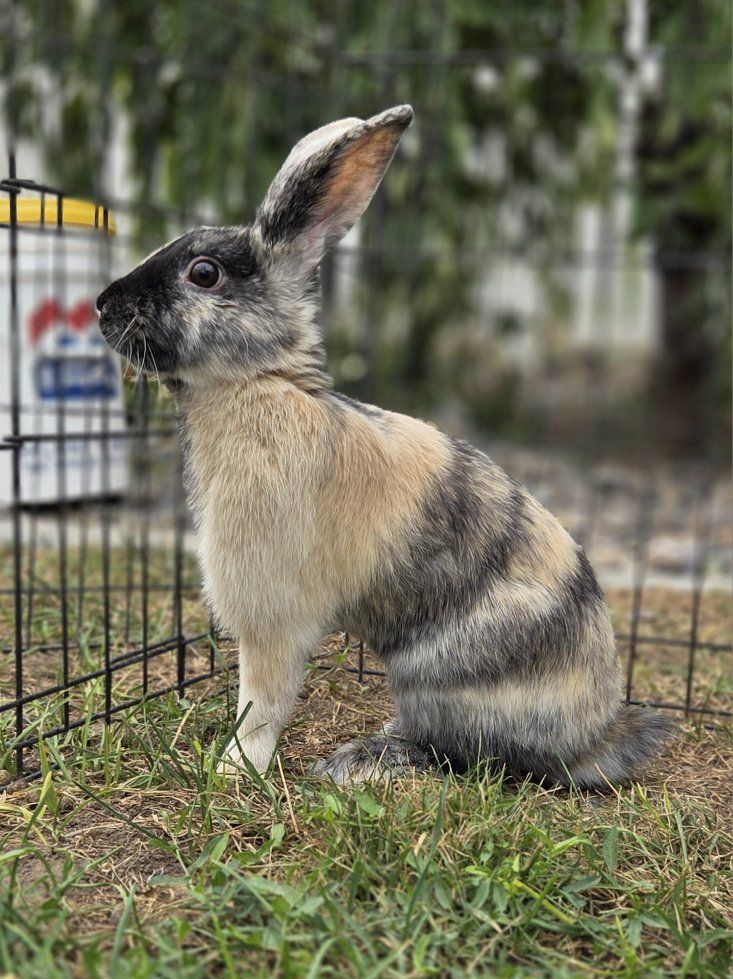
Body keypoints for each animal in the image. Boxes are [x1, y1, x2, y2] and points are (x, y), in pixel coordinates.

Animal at [96, 105, 675, 788]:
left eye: (204, 273)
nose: (103, 305)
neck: (259, 381)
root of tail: (593, 738)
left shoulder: (271, 619)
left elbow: (262, 704)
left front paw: (234, 771)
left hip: (442, 678)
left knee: (467, 753)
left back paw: (362, 761)